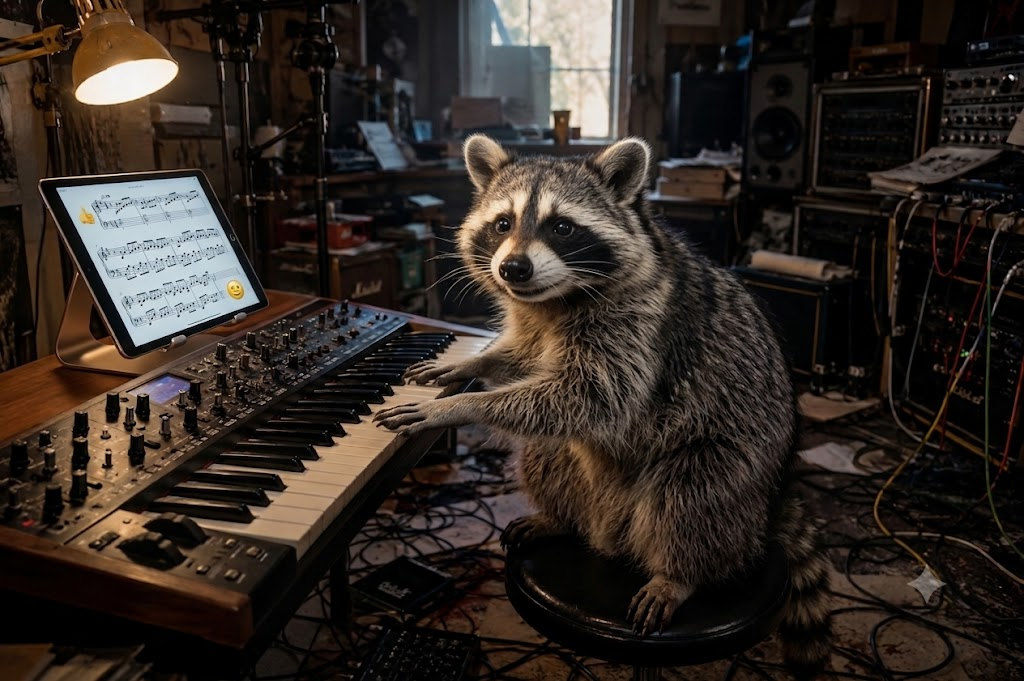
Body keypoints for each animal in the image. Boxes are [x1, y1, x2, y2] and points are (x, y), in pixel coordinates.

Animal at [374, 135, 833, 678]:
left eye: (562, 227)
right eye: (503, 223)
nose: (513, 269)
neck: (556, 298)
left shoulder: (640, 324)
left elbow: (595, 398)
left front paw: (463, 405)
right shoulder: (535, 321)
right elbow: (526, 360)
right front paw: (470, 365)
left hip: (732, 466)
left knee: (693, 488)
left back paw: (680, 573)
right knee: (547, 451)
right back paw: (559, 517)